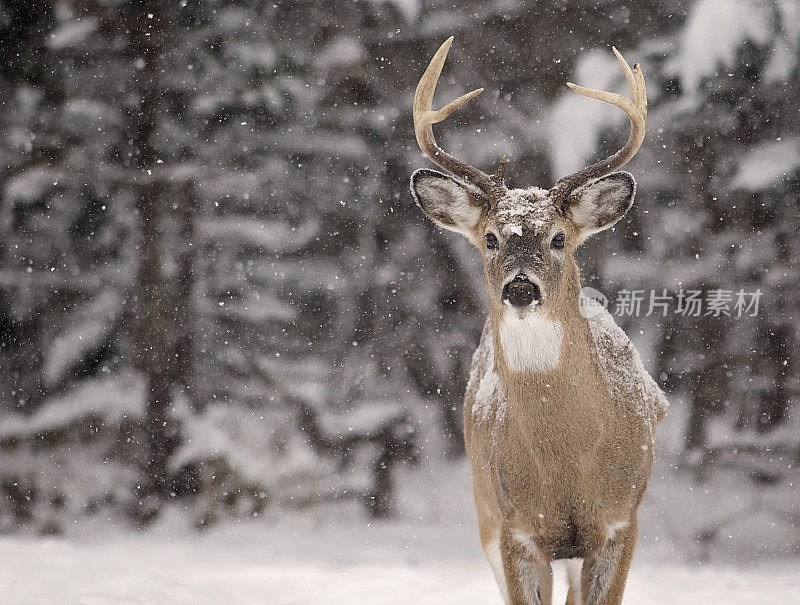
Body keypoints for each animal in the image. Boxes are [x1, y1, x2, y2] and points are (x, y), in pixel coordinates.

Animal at [410, 39, 664, 604]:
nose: (521, 288)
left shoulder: (622, 522)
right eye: (490, 238)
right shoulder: (514, 530)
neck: (568, 466)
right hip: (484, 511)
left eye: (558, 238)